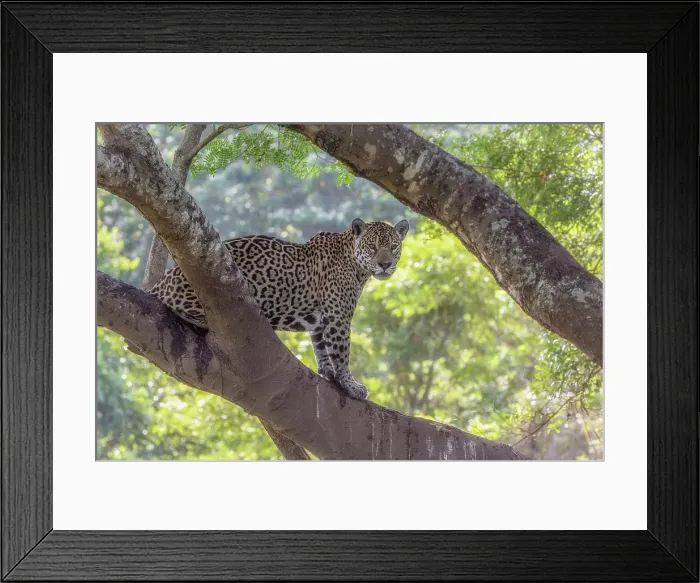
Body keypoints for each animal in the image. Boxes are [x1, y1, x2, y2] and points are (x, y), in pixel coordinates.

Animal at [147, 218, 410, 400]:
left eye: (394, 247)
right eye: (373, 247)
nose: (384, 264)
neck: (356, 266)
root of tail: (161, 282)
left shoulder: (321, 319)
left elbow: (321, 347)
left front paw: (328, 373)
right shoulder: (338, 318)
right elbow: (341, 353)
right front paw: (351, 385)